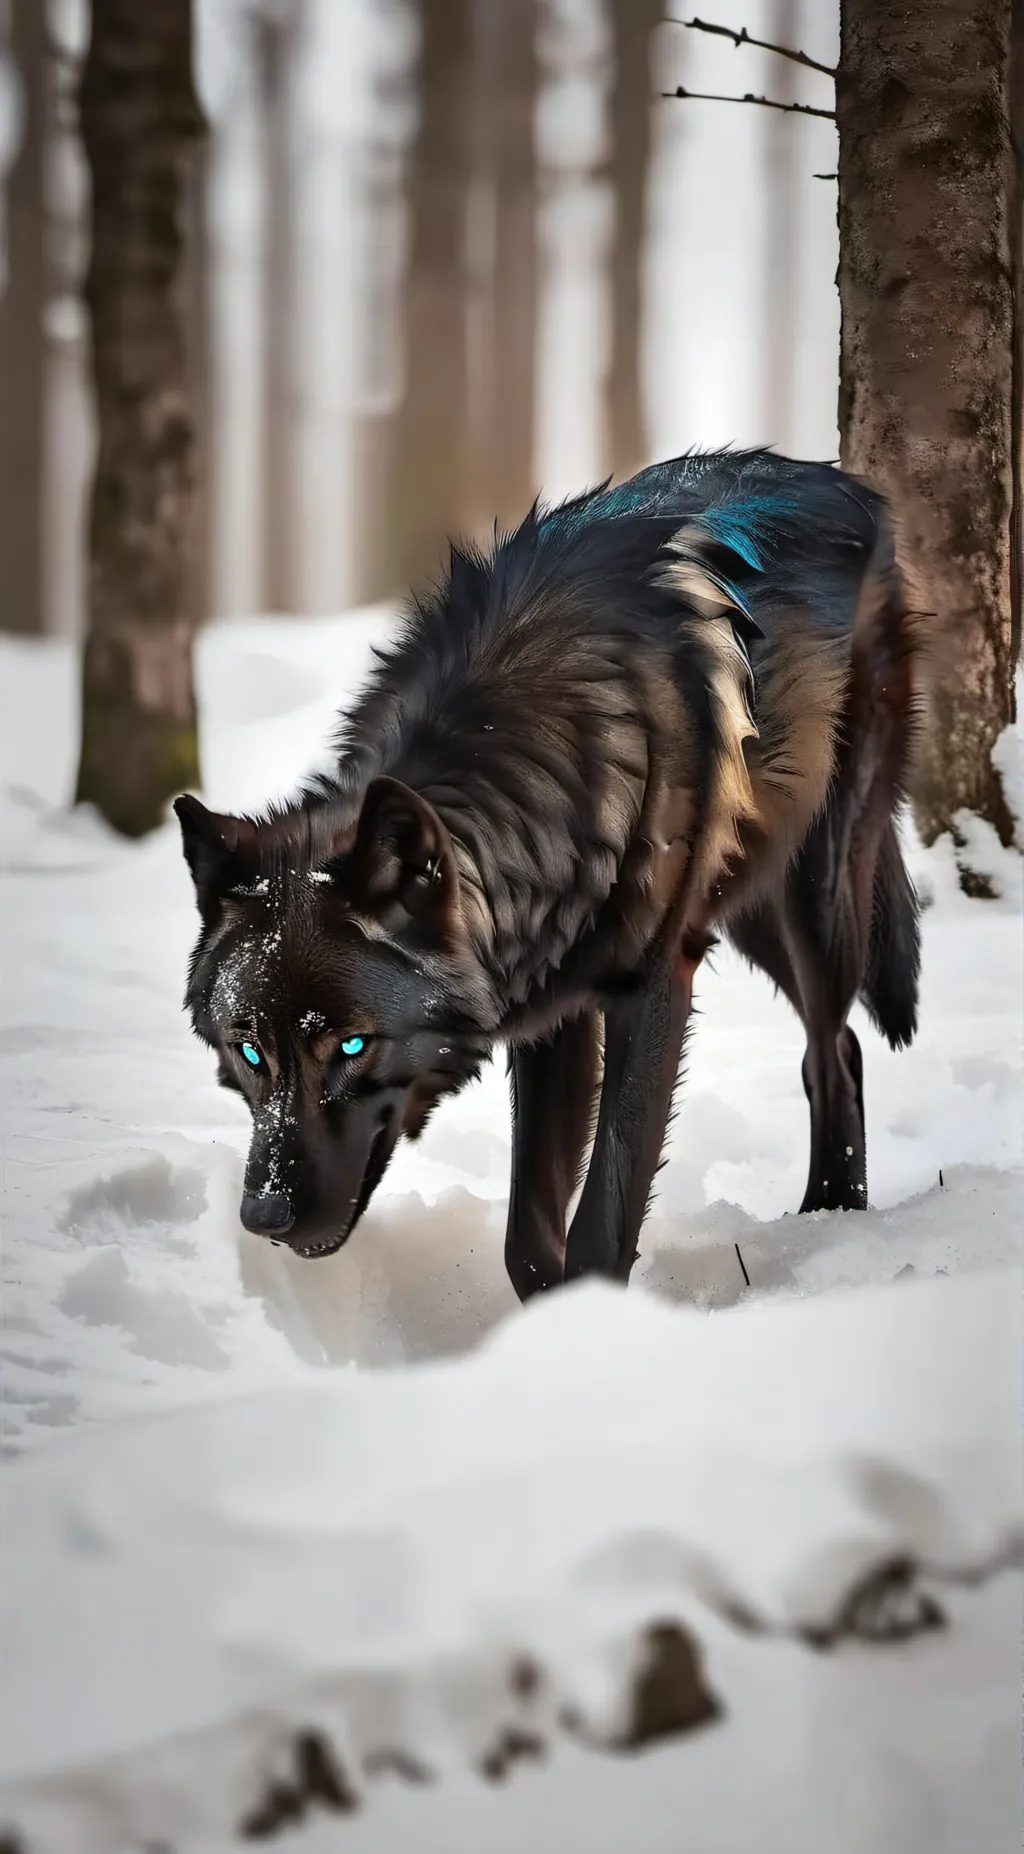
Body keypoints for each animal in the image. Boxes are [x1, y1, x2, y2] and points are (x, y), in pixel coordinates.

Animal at [175, 449, 921, 1296]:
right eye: (249, 1051)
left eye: (355, 1046)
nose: (265, 1218)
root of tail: (842, 480)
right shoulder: (547, 1006)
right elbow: (527, 1237)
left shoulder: (652, 984)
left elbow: (606, 1209)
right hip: (746, 909)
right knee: (840, 1048)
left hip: (820, 904)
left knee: (835, 1050)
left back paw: (832, 1215)